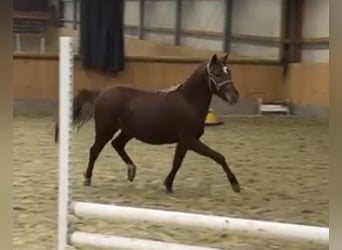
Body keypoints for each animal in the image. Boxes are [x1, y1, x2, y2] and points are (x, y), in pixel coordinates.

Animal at [54, 53, 240, 192]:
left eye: (229, 72)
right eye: (216, 73)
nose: (234, 97)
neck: (188, 102)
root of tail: (101, 93)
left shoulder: (184, 142)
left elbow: (177, 162)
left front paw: (168, 184)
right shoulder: (189, 139)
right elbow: (218, 156)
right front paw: (235, 185)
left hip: (127, 131)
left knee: (117, 144)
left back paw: (131, 171)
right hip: (105, 129)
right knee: (95, 150)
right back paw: (87, 178)